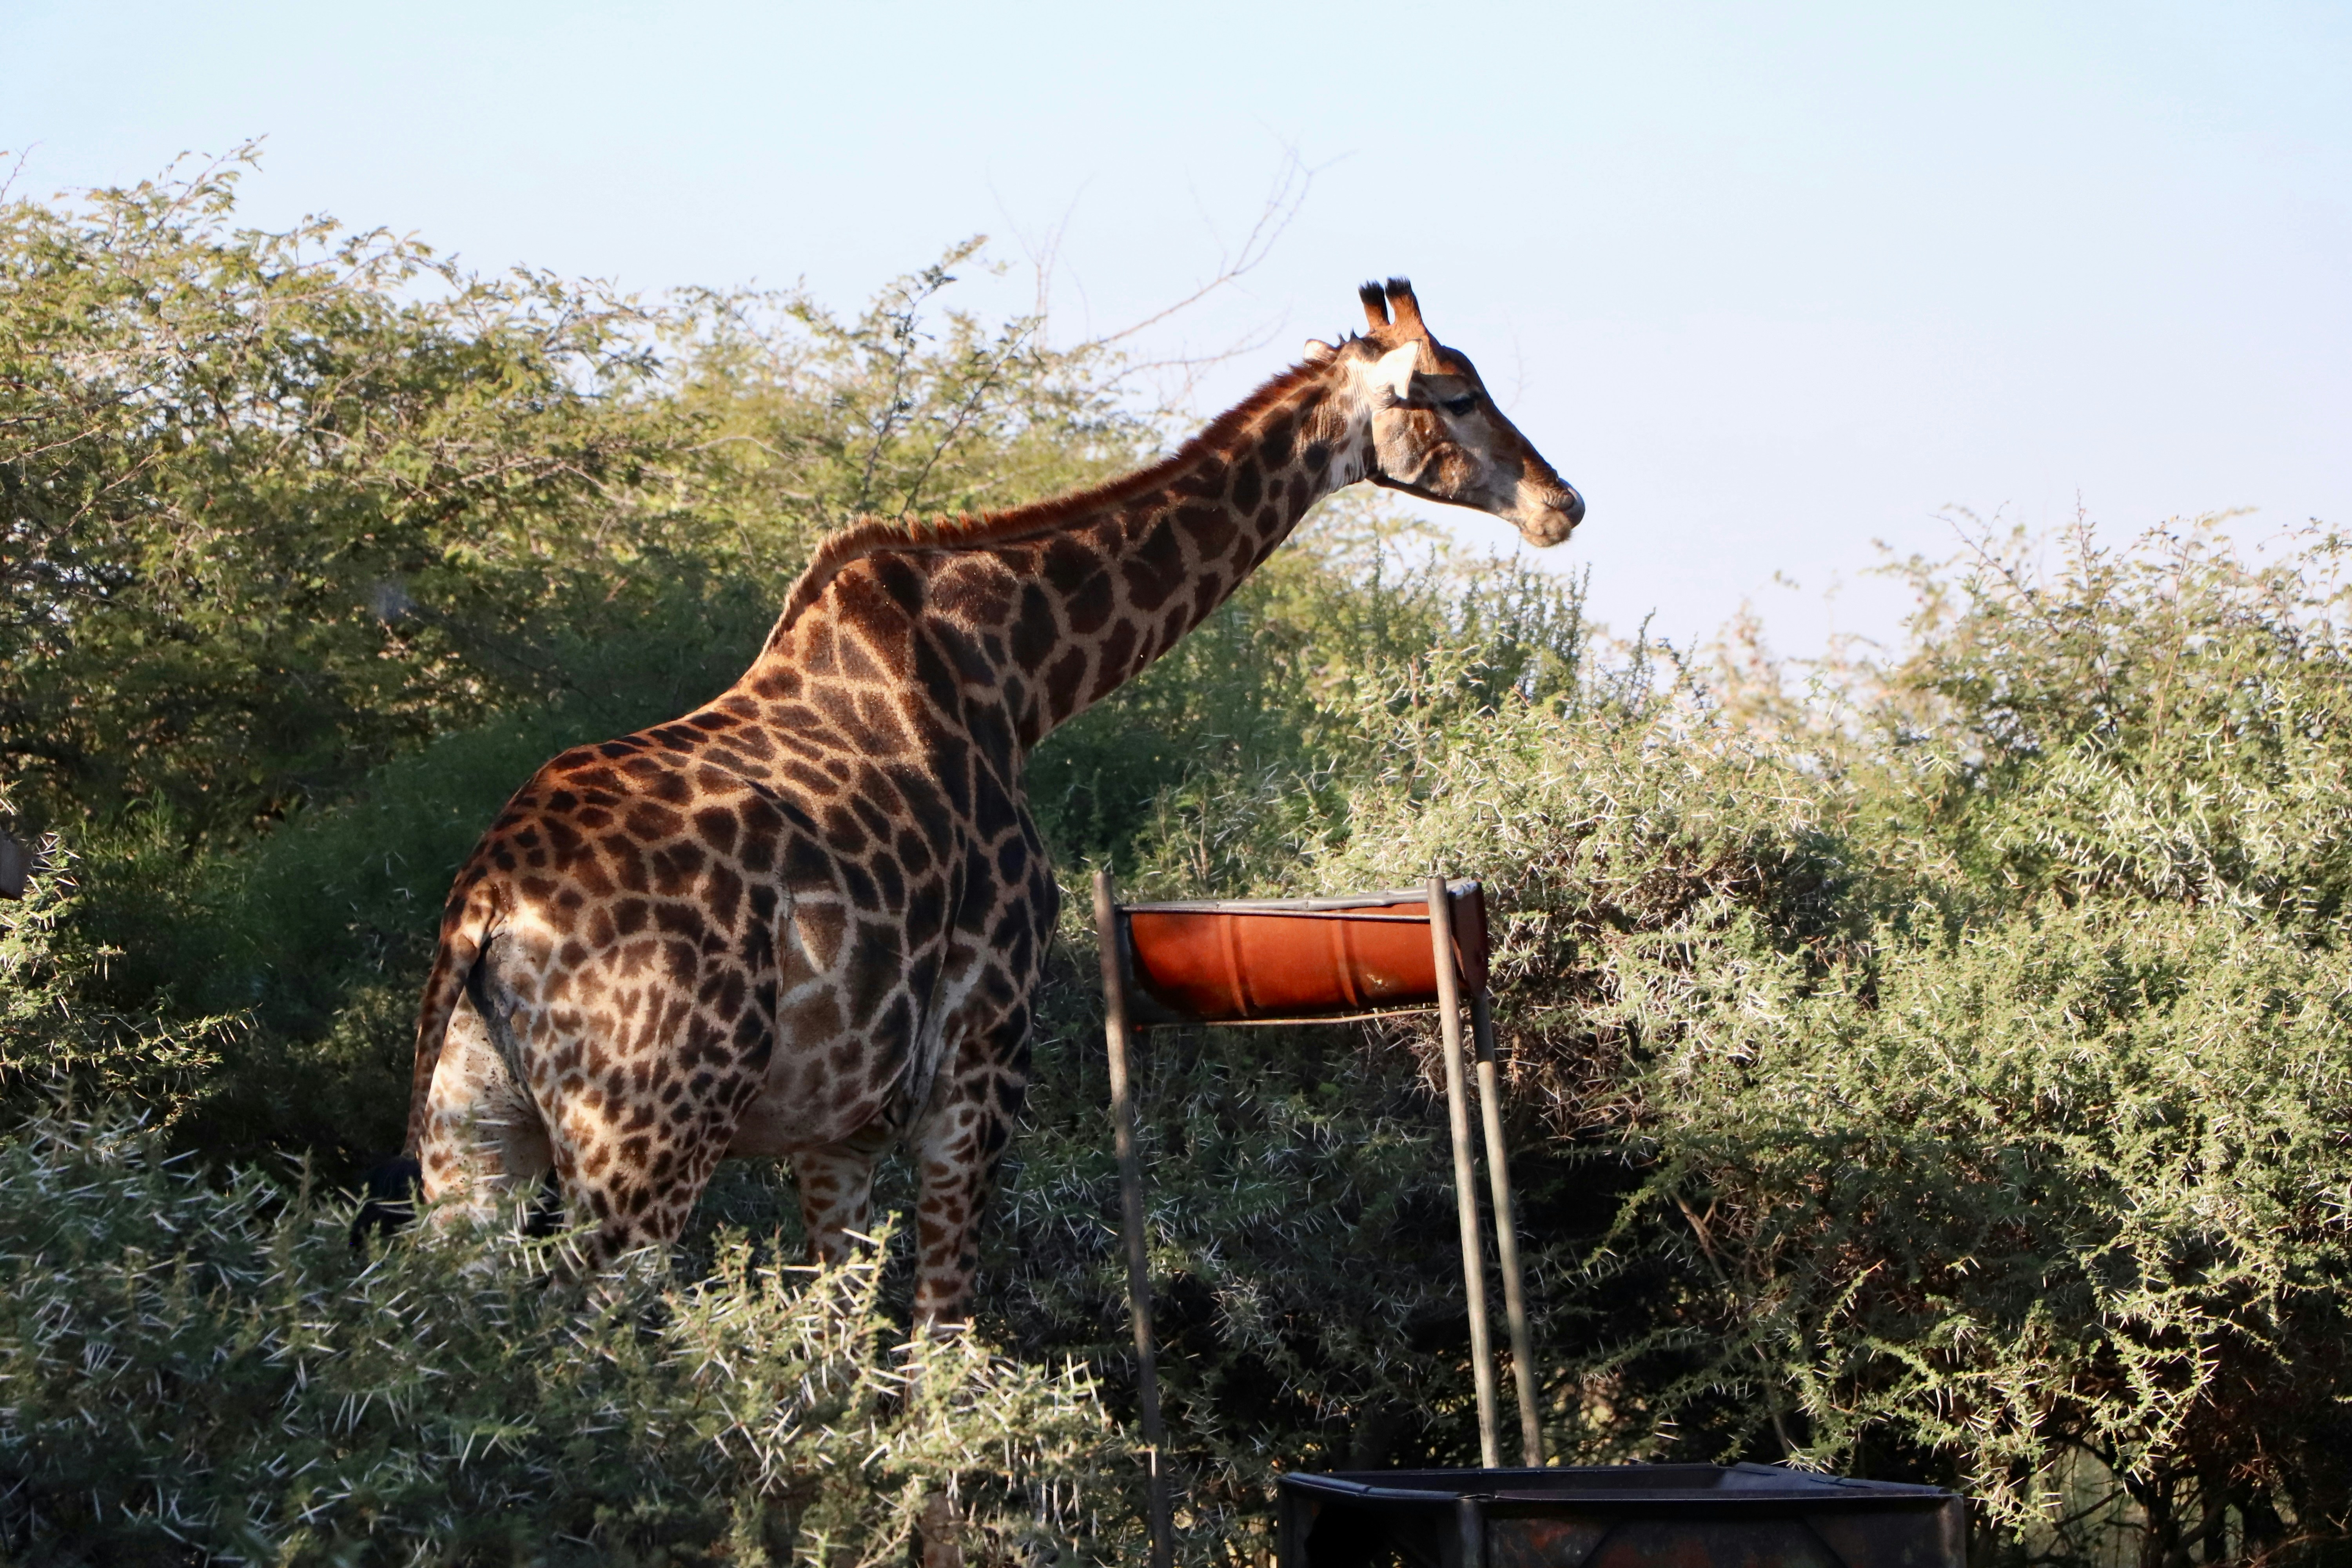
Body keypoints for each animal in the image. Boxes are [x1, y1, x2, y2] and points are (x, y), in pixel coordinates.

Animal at [406, 278, 1583, 1324]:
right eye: (1453, 392)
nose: (1561, 504)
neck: (1019, 679)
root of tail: (492, 909)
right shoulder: (978, 1067)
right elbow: (943, 1342)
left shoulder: (839, 1124)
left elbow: (834, 1356)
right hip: (647, 1139)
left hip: (471, 1149)